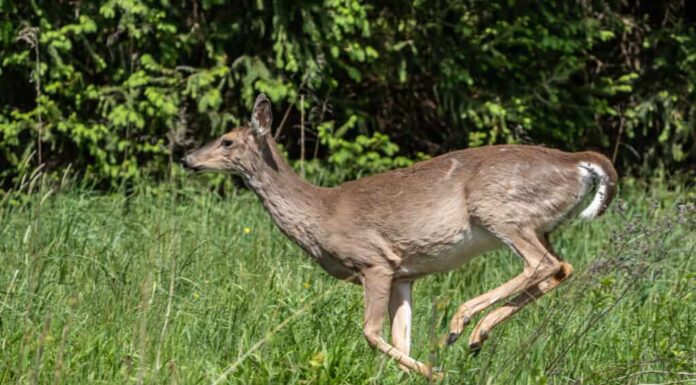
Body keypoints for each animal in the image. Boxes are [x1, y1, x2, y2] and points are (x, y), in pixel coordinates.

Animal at [182, 94, 616, 378]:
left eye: (227, 140)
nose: (187, 159)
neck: (320, 214)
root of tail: (579, 162)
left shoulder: (374, 261)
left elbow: (371, 333)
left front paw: (434, 371)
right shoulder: (404, 273)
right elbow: (399, 337)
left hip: (501, 212)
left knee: (541, 264)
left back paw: (460, 324)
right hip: (543, 225)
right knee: (562, 267)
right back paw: (477, 336)